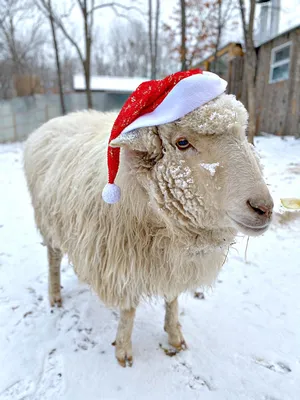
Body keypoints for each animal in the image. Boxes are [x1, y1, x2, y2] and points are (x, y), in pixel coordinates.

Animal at [23, 93, 274, 366]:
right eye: (182, 142)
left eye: (242, 134)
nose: (264, 208)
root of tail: (53, 122)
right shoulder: (123, 261)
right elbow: (128, 308)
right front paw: (123, 350)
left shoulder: (172, 262)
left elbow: (172, 298)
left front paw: (174, 335)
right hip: (48, 222)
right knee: (53, 258)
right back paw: (54, 295)